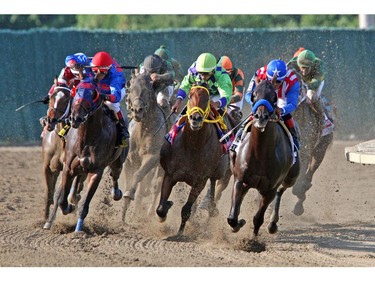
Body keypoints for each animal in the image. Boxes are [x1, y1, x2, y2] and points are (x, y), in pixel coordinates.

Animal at [43, 77, 129, 231]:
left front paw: (78, 230)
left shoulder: (96, 171)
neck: (87, 137)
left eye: (93, 94)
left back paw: (116, 193)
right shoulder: (67, 168)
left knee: (115, 175)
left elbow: (83, 203)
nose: (76, 118)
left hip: (118, 161)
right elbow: (60, 197)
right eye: (76, 91)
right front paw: (63, 211)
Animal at [121, 71, 174, 222]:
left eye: (148, 91)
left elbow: (138, 176)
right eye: (131, 90)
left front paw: (130, 195)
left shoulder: (152, 157)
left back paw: (149, 213)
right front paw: (123, 213)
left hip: (163, 167)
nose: (137, 110)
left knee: (157, 186)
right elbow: (129, 179)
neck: (143, 131)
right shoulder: (129, 159)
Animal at [156, 82, 232, 235]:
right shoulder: (170, 174)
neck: (193, 145)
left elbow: (186, 209)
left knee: (213, 183)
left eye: (207, 98)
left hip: (219, 170)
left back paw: (211, 208)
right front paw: (167, 206)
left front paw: (180, 233)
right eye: (190, 96)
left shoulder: (200, 181)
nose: (195, 118)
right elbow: (161, 208)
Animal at [226, 79, 302, 236]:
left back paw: (272, 223)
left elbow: (258, 219)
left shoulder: (270, 189)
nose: (261, 117)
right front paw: (239, 223)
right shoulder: (239, 179)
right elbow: (232, 218)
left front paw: (252, 240)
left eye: (274, 96)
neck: (260, 154)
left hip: (291, 178)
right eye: (254, 94)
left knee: (281, 190)